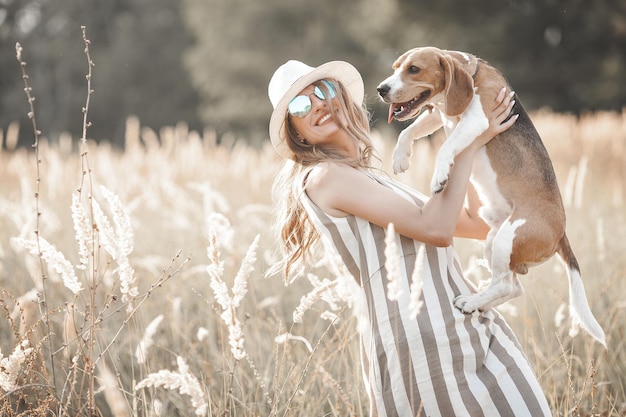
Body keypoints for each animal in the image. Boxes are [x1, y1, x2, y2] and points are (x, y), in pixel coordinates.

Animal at [376, 45, 604, 346]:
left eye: (414, 69)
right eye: (394, 68)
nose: (381, 89)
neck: (473, 75)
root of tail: (561, 232)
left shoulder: (476, 119)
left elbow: (445, 146)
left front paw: (439, 175)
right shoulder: (440, 114)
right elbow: (407, 130)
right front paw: (400, 156)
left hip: (507, 239)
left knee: (506, 284)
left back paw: (472, 302)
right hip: (494, 241)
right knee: (513, 287)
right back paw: (480, 302)